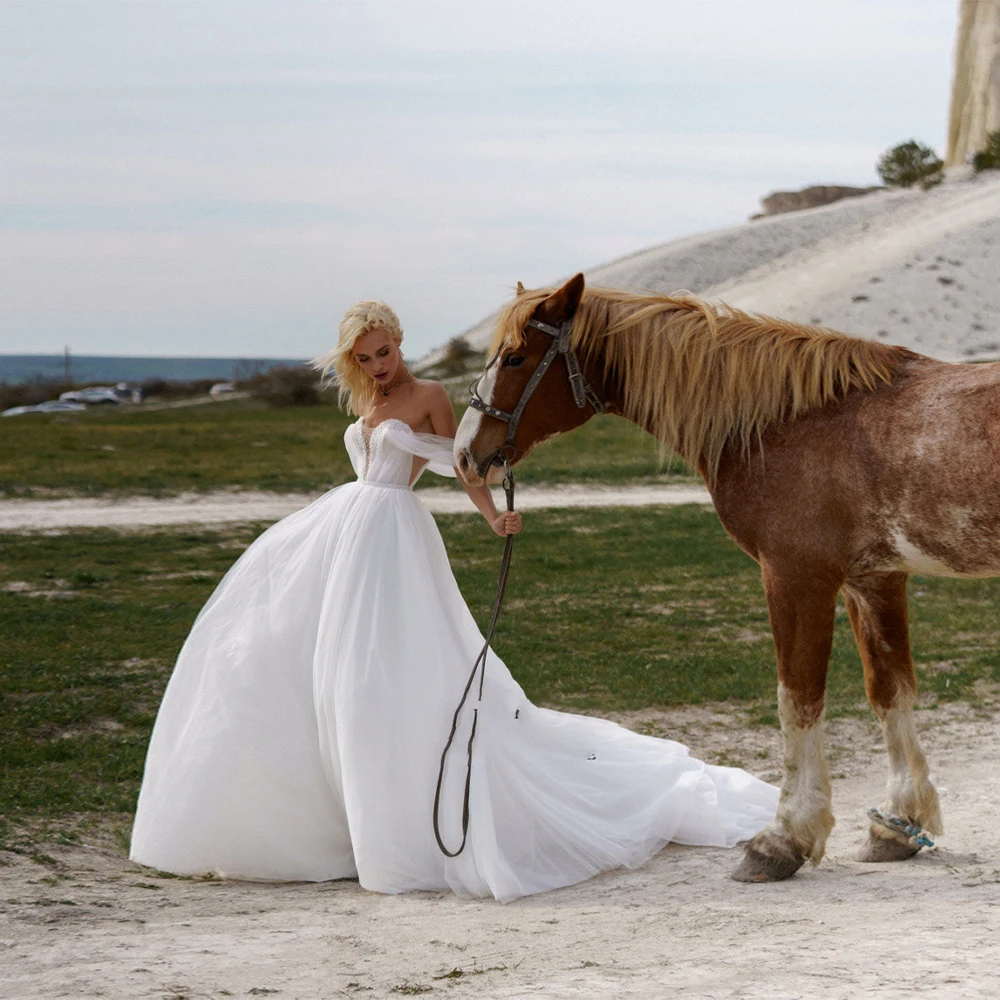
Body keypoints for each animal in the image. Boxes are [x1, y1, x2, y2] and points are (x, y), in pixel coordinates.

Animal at [454, 274, 1000, 884]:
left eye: (516, 357)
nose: (465, 454)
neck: (790, 422)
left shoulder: (795, 577)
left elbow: (798, 701)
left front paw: (782, 839)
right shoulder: (874, 580)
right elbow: (889, 693)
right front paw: (898, 826)